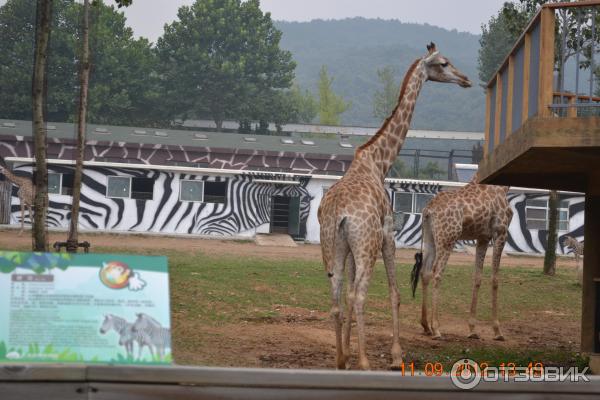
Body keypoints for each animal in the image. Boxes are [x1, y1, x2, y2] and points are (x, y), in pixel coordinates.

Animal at [318, 42, 474, 370]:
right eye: (444, 63)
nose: (466, 79)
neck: (378, 162)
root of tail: (338, 213)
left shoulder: (351, 246)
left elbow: (349, 293)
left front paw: (348, 350)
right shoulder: (388, 234)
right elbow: (395, 293)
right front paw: (395, 354)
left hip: (332, 245)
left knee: (338, 297)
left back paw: (341, 360)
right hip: (366, 244)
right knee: (359, 295)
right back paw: (365, 362)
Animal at [410, 175, 512, 340]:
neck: (502, 187)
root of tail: (428, 210)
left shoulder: (483, 237)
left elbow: (477, 277)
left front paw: (472, 329)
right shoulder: (500, 232)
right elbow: (495, 279)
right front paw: (497, 331)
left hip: (430, 238)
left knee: (425, 272)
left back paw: (426, 326)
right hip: (448, 239)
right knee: (437, 272)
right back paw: (436, 328)